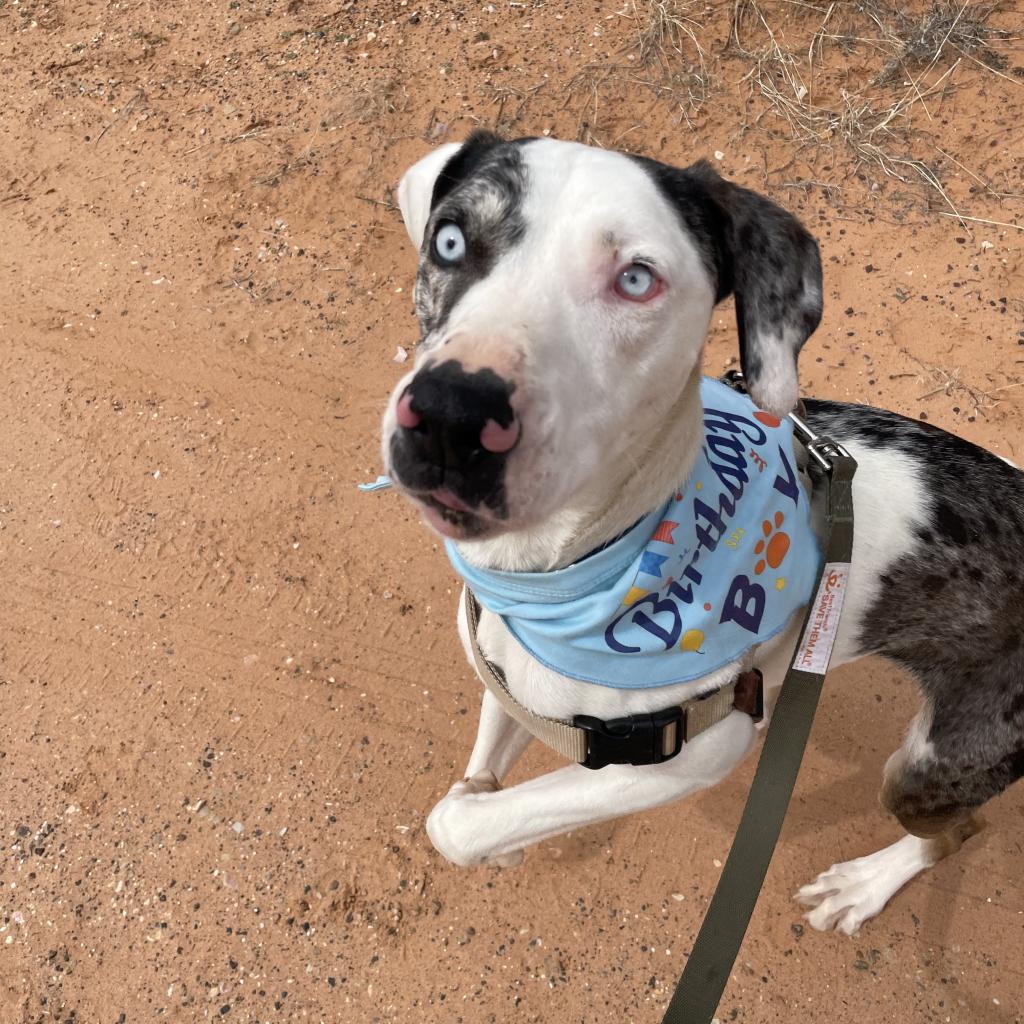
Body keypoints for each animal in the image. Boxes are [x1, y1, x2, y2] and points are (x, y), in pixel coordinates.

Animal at [378, 132, 1024, 937]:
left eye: (636, 279)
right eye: (450, 240)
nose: (449, 417)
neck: (562, 577)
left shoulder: (695, 752)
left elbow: (459, 824)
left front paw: (488, 830)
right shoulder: (512, 674)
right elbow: (485, 770)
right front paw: (495, 814)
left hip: (934, 764)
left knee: (960, 830)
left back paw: (863, 886)